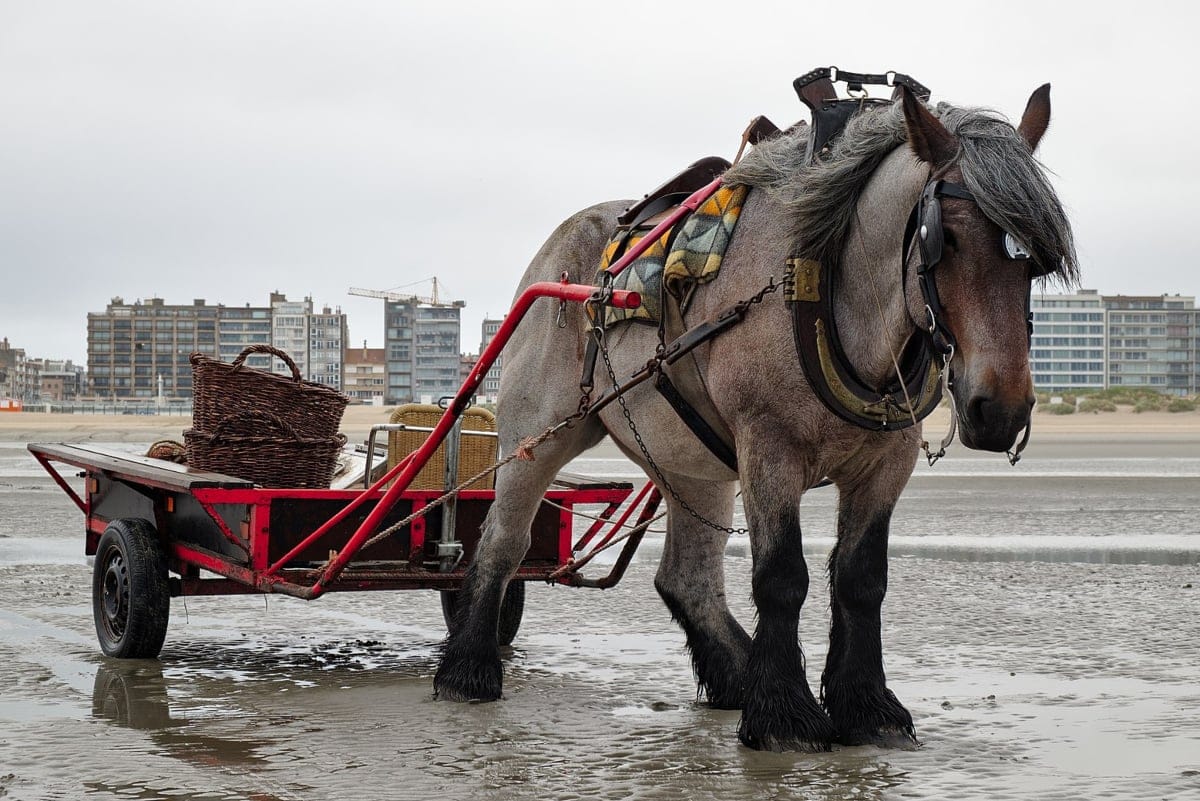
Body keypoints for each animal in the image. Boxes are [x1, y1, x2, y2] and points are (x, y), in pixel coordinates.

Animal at [434, 82, 1080, 753]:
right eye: (944, 238)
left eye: (1036, 261)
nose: (999, 409)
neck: (825, 290)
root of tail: (554, 255)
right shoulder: (769, 450)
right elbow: (782, 577)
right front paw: (783, 714)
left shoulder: (886, 463)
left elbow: (862, 579)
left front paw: (863, 705)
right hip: (538, 434)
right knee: (501, 543)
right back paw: (469, 668)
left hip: (690, 463)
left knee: (685, 577)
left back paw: (736, 675)